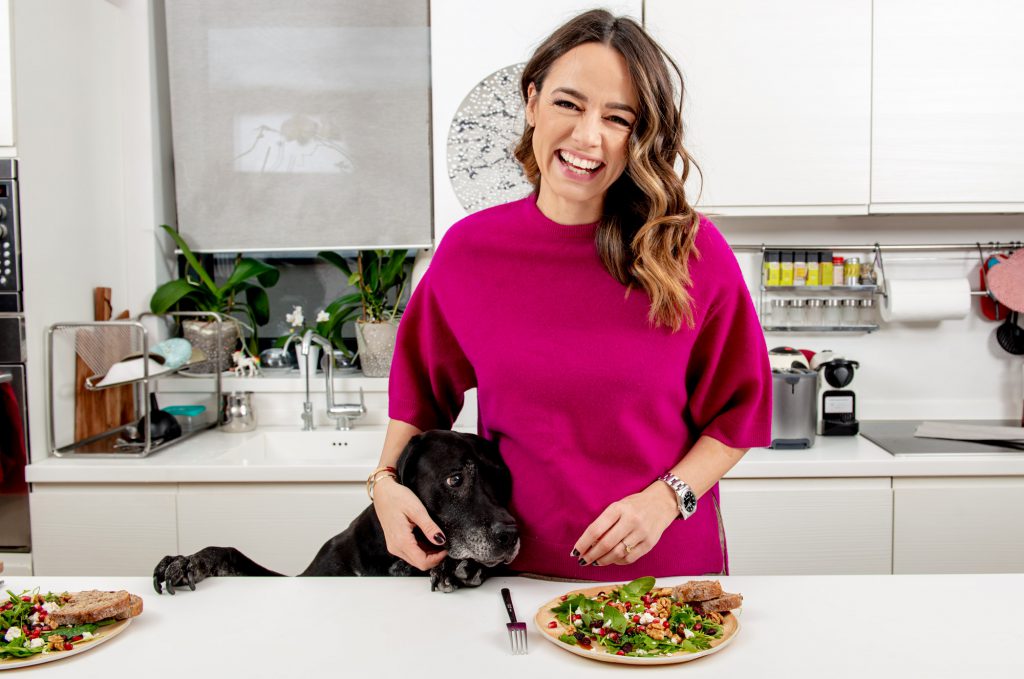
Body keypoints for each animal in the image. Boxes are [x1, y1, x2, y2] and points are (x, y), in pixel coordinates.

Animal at [152, 430, 519, 594]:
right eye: (456, 478)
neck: (396, 561)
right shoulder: (303, 580)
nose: (511, 535)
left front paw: (459, 566)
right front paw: (189, 561)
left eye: (502, 481)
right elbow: (232, 552)